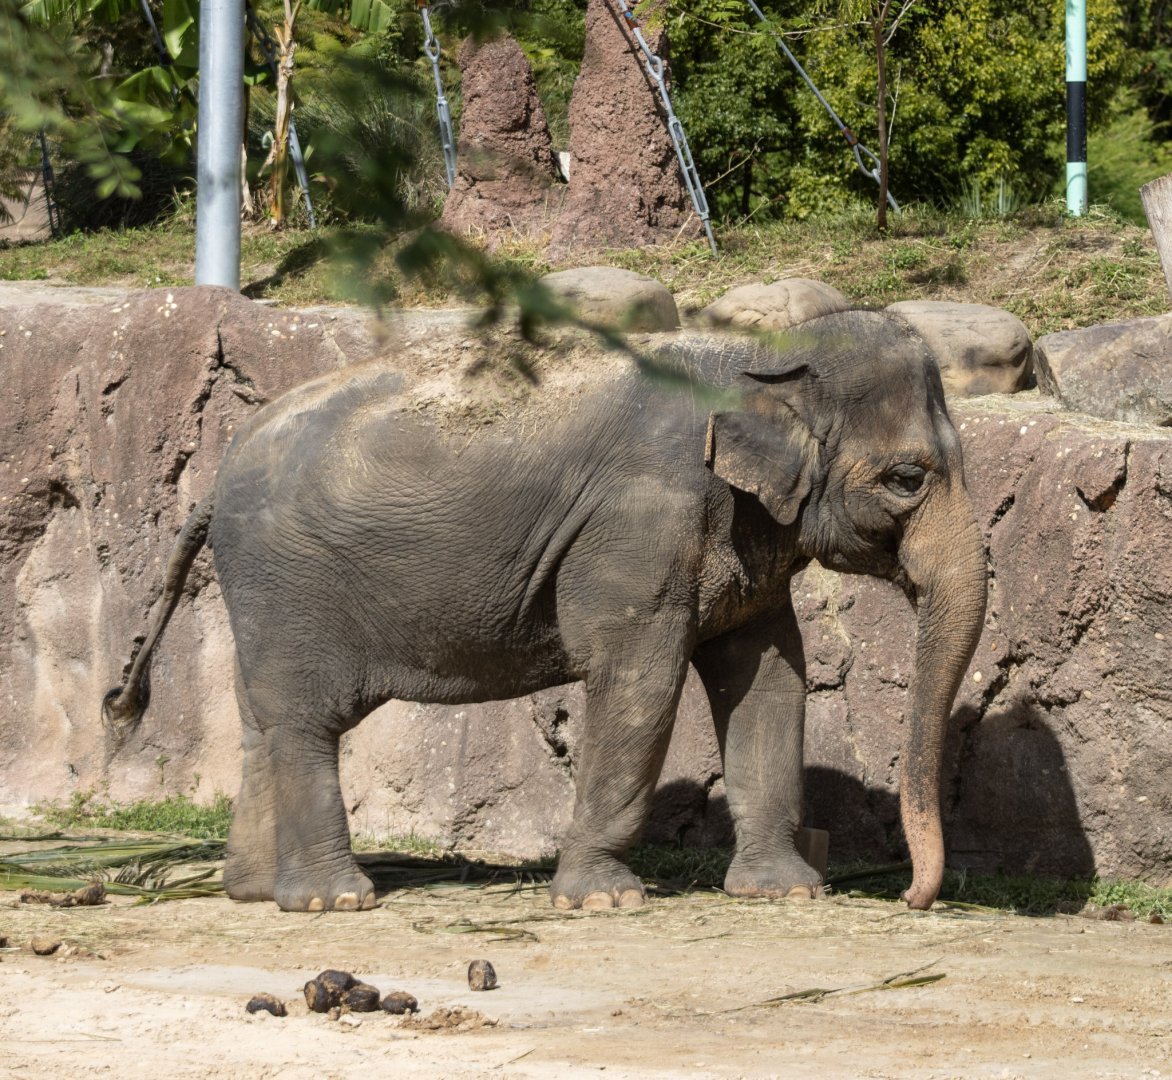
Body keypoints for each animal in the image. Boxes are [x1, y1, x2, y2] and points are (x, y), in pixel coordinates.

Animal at [104, 308, 987, 914]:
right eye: (907, 480)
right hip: (287, 580)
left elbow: (769, 680)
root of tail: (214, 479)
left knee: (263, 723)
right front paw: (604, 899)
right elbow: (639, 680)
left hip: (262, 590)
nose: (909, 896)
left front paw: (785, 892)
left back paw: (256, 892)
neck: (756, 356)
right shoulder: (643, 519)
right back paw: (337, 899)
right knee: (304, 721)